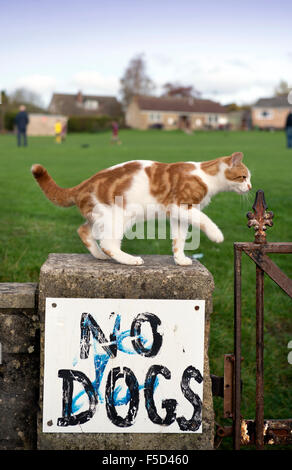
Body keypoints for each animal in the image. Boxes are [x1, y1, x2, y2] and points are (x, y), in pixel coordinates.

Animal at [31, 152, 251, 266]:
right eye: (243, 177)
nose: (249, 187)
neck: (206, 176)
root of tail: (83, 184)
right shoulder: (180, 205)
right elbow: (205, 219)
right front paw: (216, 235)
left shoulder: (179, 215)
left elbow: (179, 239)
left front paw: (180, 259)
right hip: (118, 217)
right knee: (108, 243)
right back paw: (129, 259)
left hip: (101, 216)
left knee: (84, 230)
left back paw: (99, 255)